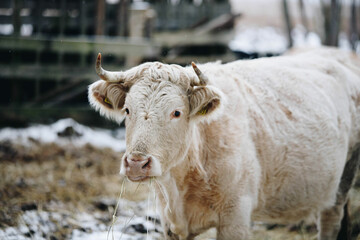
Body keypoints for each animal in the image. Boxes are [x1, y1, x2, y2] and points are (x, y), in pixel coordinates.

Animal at [88, 47, 360, 239]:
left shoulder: (235, 217)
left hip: (342, 182)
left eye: (176, 112)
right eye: (127, 110)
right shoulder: (170, 224)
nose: (136, 163)